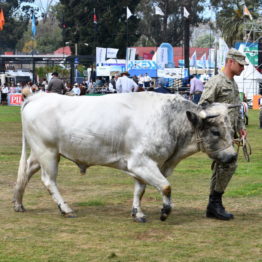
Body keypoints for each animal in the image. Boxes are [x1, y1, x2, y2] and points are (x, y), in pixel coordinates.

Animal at [13, 91, 236, 221]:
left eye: (231, 129)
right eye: (215, 132)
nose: (233, 156)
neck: (167, 120)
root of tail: (39, 96)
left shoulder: (144, 166)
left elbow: (140, 190)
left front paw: (137, 212)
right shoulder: (141, 162)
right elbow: (165, 186)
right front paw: (165, 210)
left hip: (41, 154)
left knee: (25, 172)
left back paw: (18, 203)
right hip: (48, 153)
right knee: (48, 180)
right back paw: (65, 209)